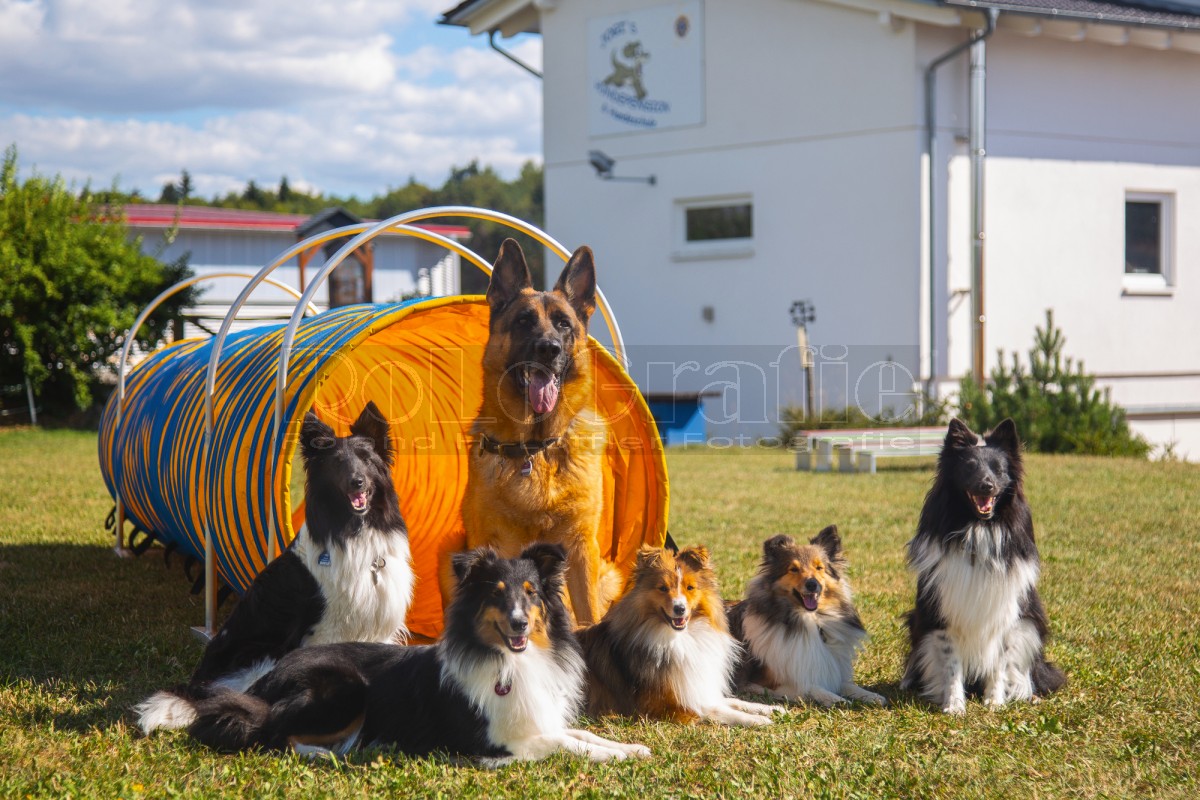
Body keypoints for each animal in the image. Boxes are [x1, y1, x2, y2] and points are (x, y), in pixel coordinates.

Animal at [137, 544, 651, 766]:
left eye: (531, 594)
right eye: (497, 595)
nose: (521, 625)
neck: (511, 661)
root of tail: (267, 679)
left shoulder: (540, 717)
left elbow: (582, 734)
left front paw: (631, 747)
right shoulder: (495, 744)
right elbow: (565, 744)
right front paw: (616, 757)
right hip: (342, 689)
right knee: (270, 733)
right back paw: (330, 754)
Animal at [440, 238, 615, 627]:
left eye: (563, 324)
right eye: (523, 321)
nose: (549, 349)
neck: (538, 448)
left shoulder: (582, 549)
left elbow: (589, 615)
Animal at [576, 545, 782, 726]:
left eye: (690, 588)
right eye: (663, 588)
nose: (679, 608)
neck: (680, 637)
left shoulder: (695, 689)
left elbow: (733, 701)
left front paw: (769, 708)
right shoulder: (668, 706)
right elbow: (716, 709)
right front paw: (755, 720)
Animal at [728, 527, 886, 707]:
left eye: (819, 567)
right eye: (793, 569)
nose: (812, 584)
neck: (809, 621)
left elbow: (847, 684)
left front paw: (872, 696)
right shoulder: (759, 683)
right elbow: (809, 686)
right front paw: (836, 699)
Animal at [900, 418, 1066, 714]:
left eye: (999, 470)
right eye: (969, 467)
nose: (986, 486)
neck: (979, 528)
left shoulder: (1006, 614)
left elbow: (1000, 662)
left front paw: (994, 702)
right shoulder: (942, 615)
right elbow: (951, 665)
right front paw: (954, 705)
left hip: (1030, 626)